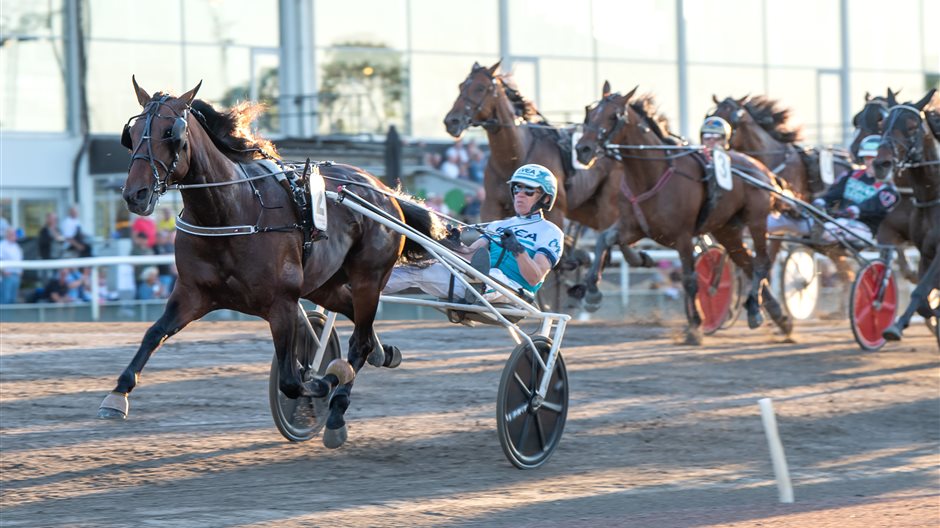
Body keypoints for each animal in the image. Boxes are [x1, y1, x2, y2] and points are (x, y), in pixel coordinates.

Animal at [872, 88, 940, 344]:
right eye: (882, 125)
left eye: (911, 126)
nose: (881, 163)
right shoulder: (925, 252)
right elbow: (923, 303)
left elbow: (922, 291)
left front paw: (895, 327)